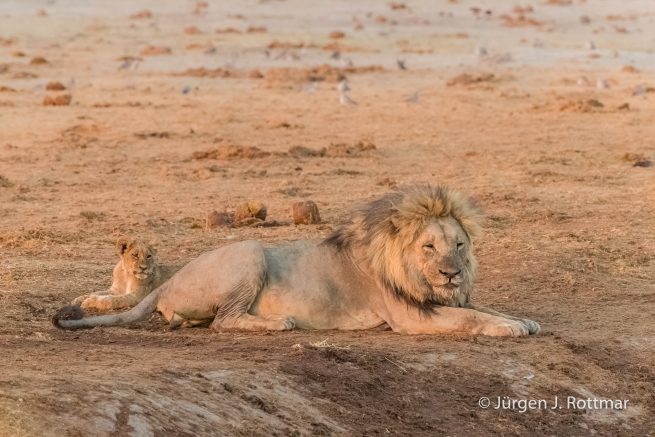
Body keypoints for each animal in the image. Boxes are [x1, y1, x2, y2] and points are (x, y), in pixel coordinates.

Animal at [54, 185, 540, 337]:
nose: (452, 273)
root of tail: (165, 284)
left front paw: (523, 320)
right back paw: (278, 323)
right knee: (224, 321)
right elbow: (472, 319)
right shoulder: (409, 317)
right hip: (249, 251)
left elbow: (485, 308)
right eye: (428, 248)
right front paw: (509, 328)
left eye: (458, 245)